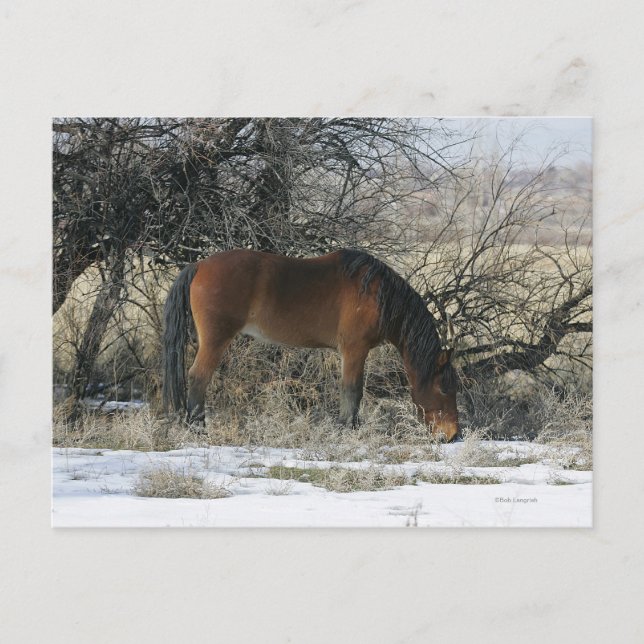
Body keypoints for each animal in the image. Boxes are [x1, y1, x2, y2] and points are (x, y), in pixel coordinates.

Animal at [162, 248, 459, 441]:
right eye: (445, 388)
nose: (453, 435)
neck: (378, 294)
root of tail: (199, 266)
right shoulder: (354, 350)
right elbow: (352, 392)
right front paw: (349, 430)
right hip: (215, 341)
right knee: (198, 377)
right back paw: (198, 429)